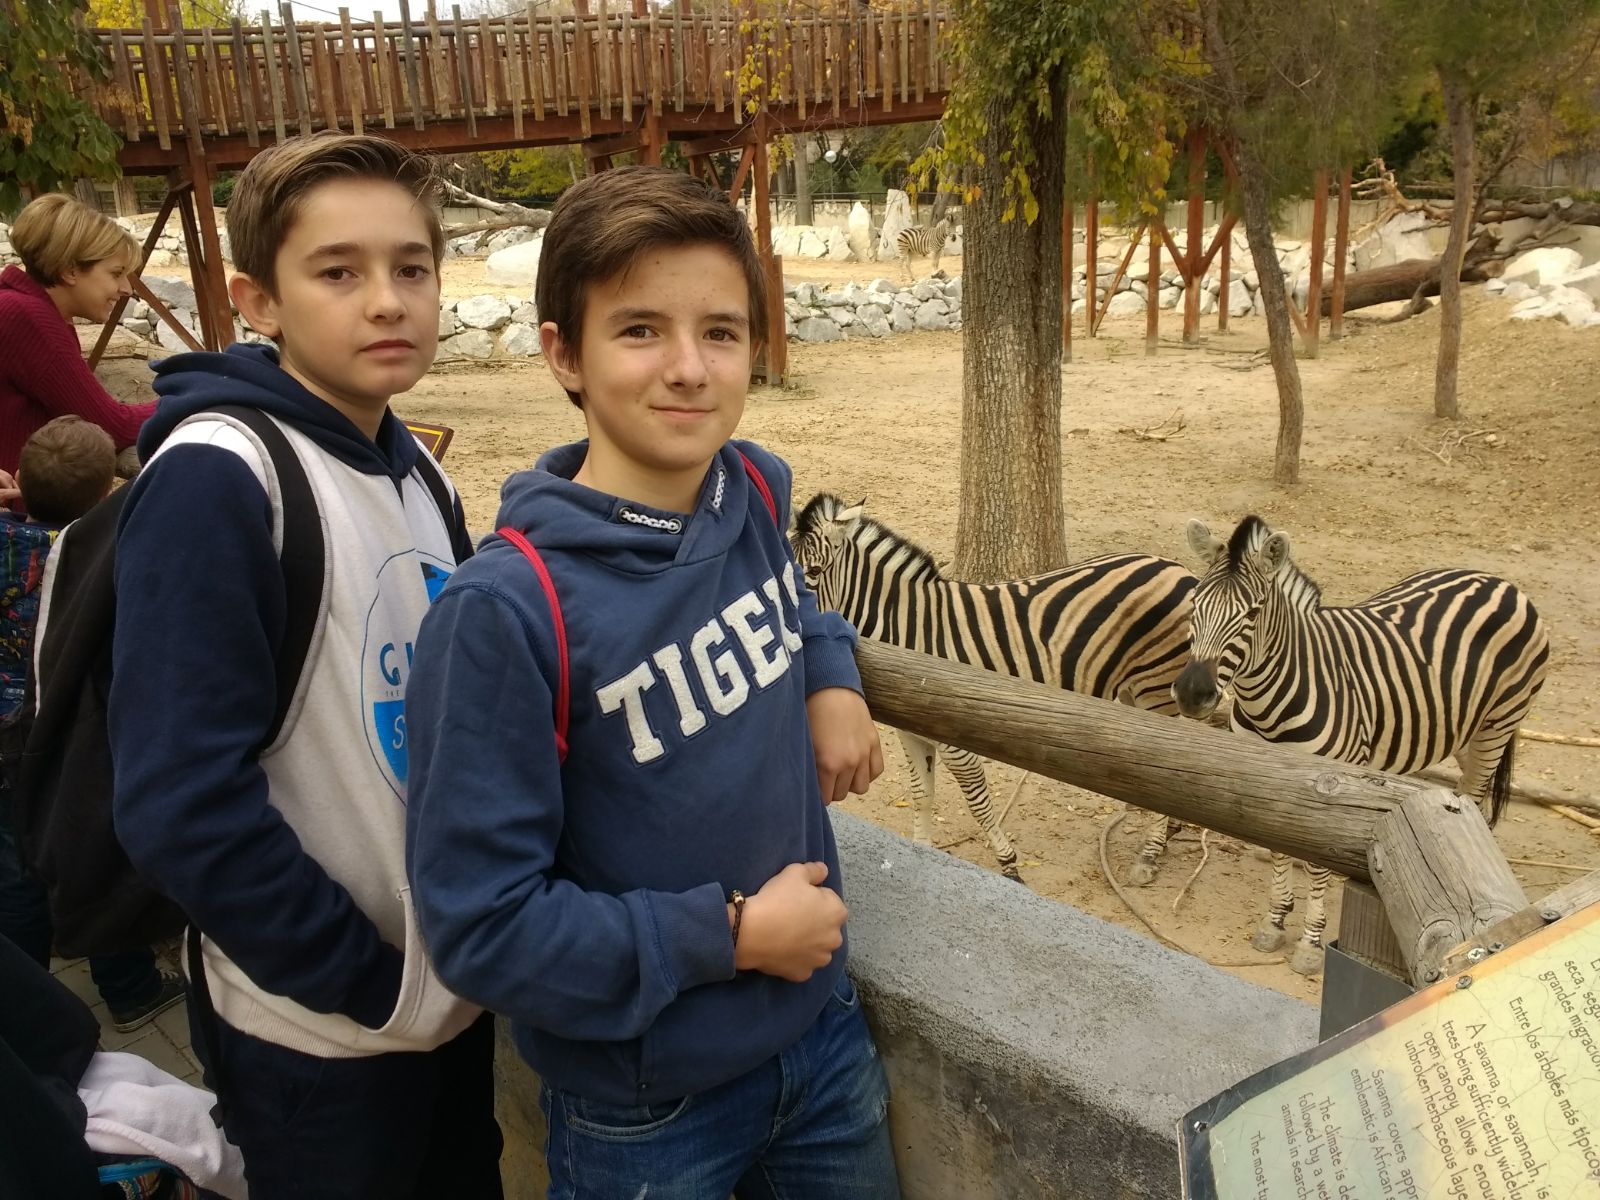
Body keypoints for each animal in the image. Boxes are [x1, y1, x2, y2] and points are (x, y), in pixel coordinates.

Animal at [792, 492, 1197, 881]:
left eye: (813, 571)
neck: (908, 626)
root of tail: (1178, 568)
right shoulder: (910, 734)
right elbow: (922, 793)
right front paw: (920, 849)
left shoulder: (954, 739)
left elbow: (978, 801)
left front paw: (1010, 865)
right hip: (1132, 690)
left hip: (1155, 688)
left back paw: (1149, 854)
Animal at [1172, 515, 1549, 976]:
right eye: (1194, 603)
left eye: (1253, 613)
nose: (1192, 694)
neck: (1269, 703)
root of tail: (1500, 581)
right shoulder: (1263, 775)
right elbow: (1278, 850)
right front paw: (1275, 921)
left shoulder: (1327, 782)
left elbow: (1315, 868)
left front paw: (1310, 944)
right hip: (1464, 728)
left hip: (1499, 722)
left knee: (1475, 795)